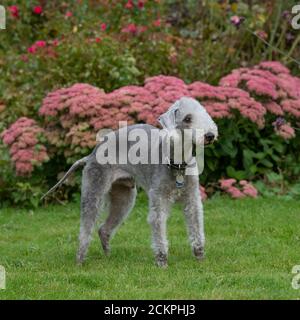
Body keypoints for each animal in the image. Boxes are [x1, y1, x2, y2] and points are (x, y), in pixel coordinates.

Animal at [42, 97, 218, 268]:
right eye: (187, 118)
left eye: (204, 113)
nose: (210, 135)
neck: (178, 163)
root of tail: (91, 154)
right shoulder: (158, 200)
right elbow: (159, 230)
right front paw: (162, 263)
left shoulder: (192, 200)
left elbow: (196, 227)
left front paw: (200, 259)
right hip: (94, 189)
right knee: (85, 230)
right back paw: (80, 261)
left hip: (124, 198)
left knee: (103, 229)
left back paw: (108, 256)